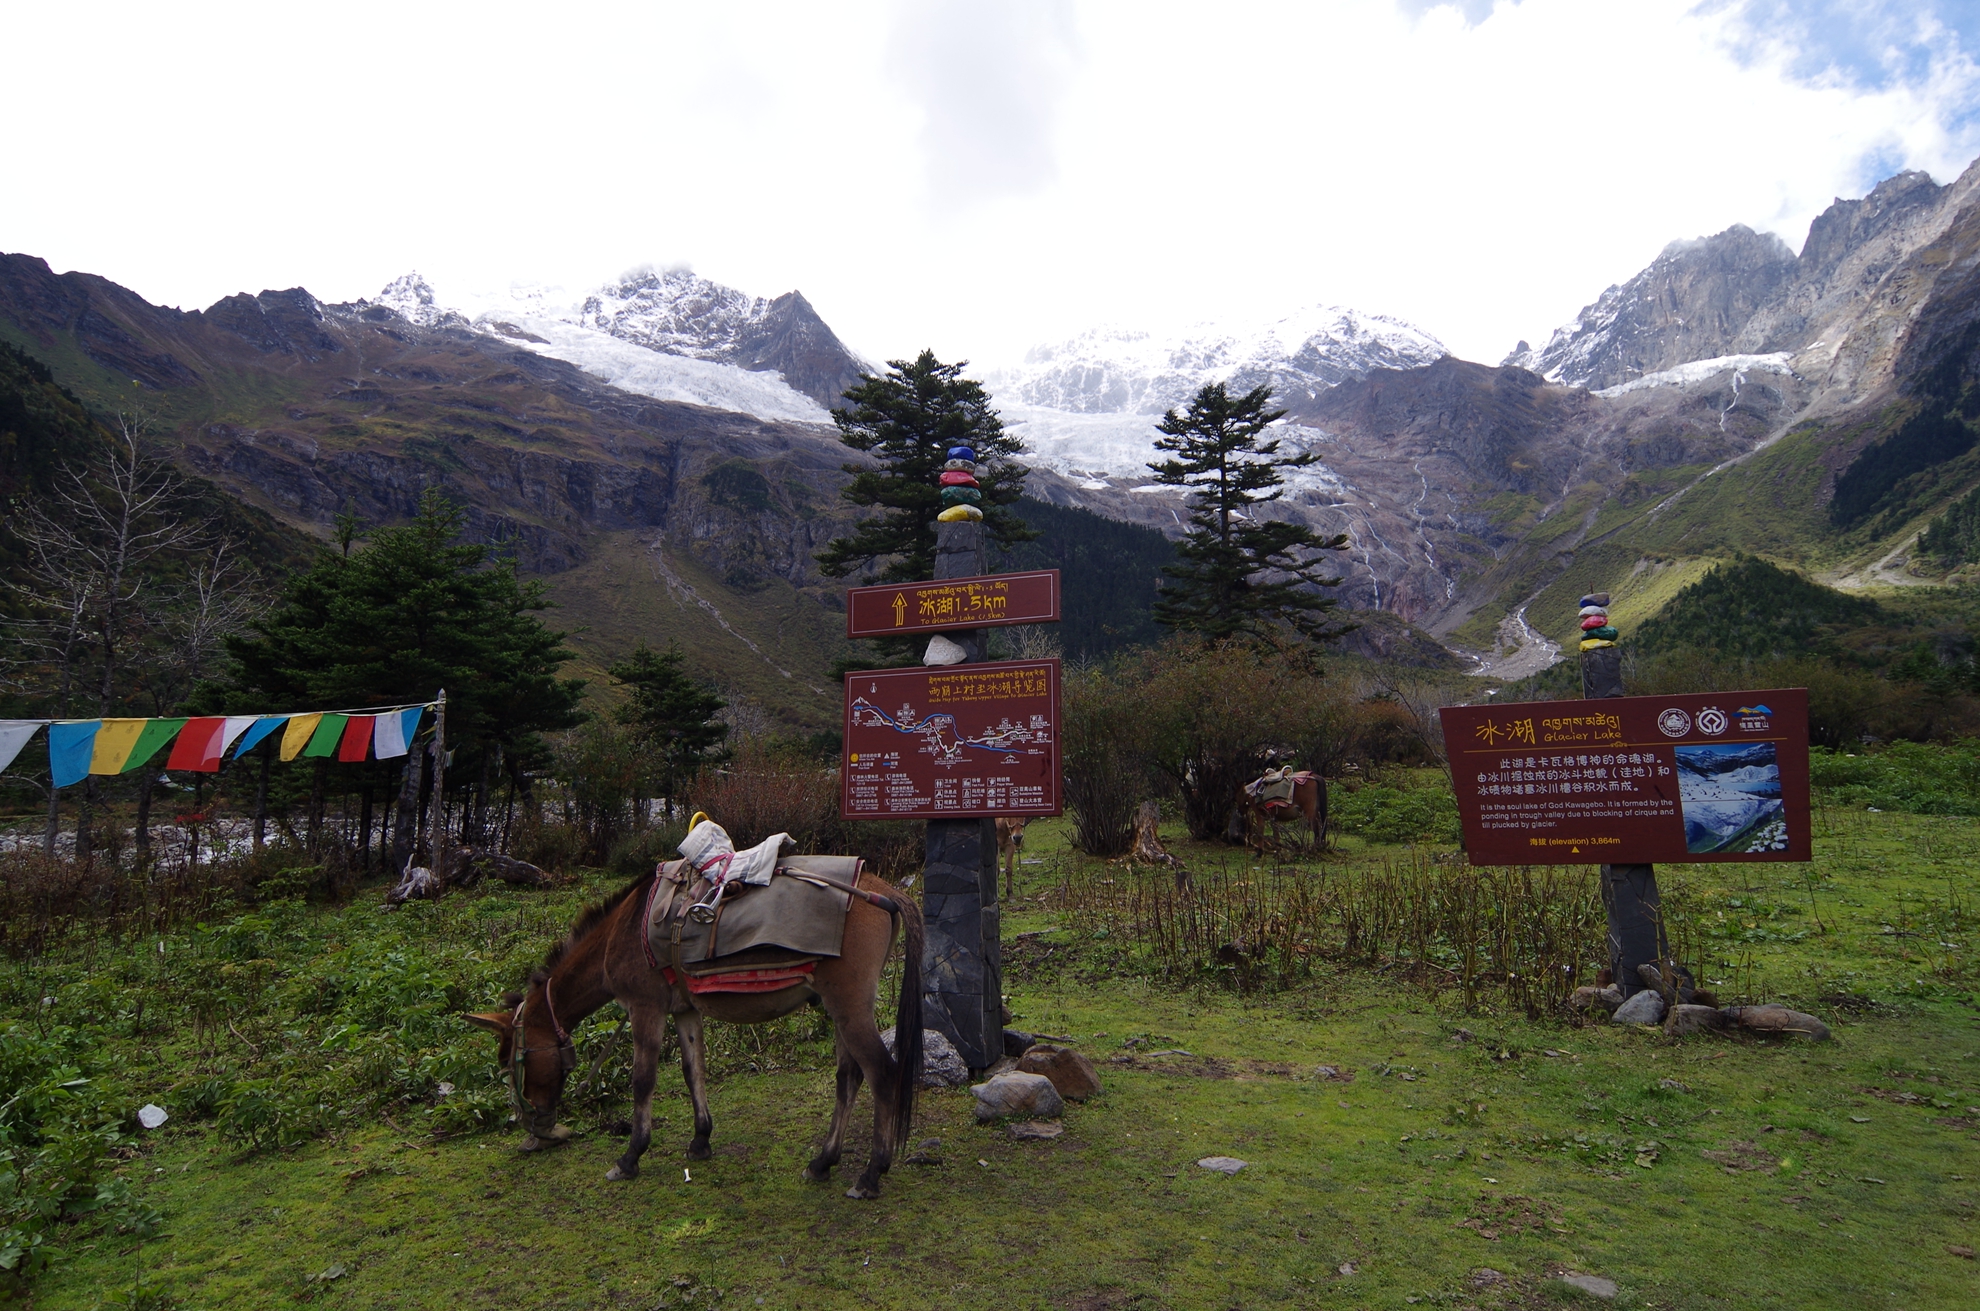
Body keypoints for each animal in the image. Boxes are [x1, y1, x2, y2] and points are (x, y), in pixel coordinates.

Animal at [467, 863, 922, 1204]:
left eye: (508, 1064)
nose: (534, 1133)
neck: (623, 932)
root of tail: (886, 893)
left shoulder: (645, 1009)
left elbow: (643, 1080)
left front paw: (630, 1157)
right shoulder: (685, 1010)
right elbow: (693, 1070)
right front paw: (701, 1139)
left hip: (849, 1008)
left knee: (882, 1074)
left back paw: (871, 1174)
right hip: (840, 1009)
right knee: (849, 1078)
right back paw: (823, 1162)